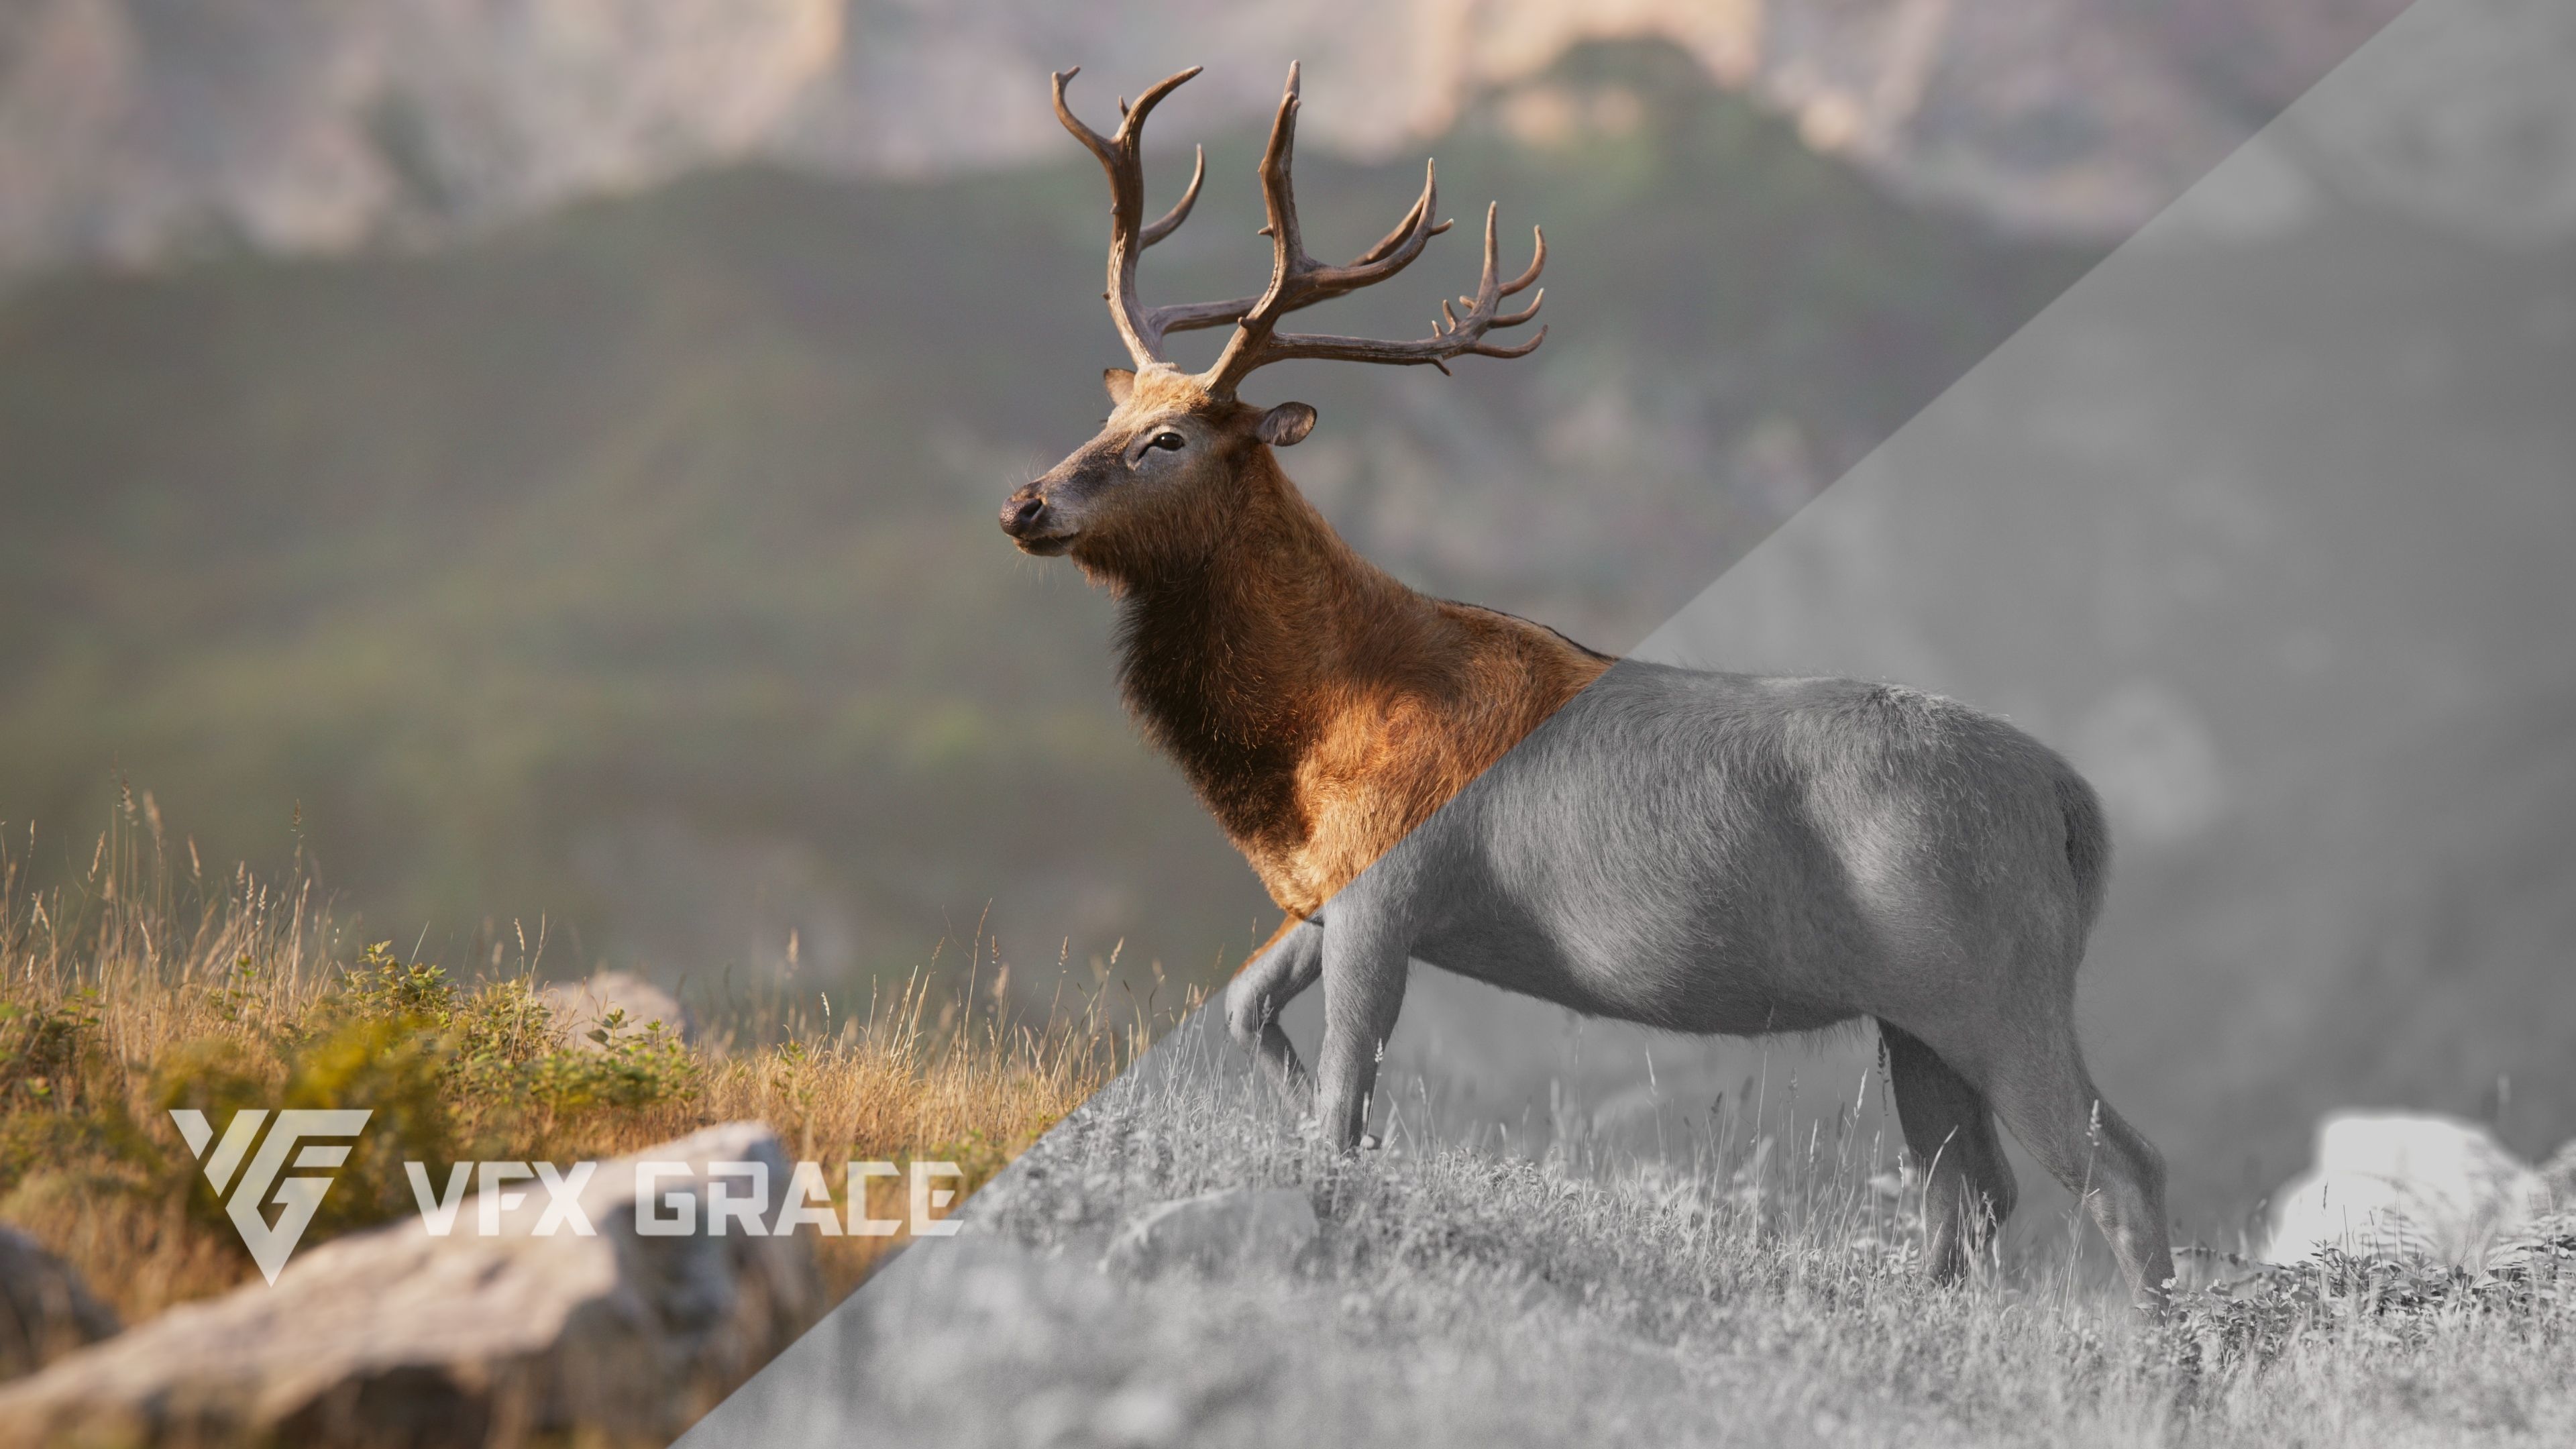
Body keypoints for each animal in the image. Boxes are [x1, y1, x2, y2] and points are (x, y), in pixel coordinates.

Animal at [999, 62, 2174, 1305]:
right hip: (1920, 1016)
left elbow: (1340, 1110)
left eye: (1168, 440)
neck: (1311, 734)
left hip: (2002, 982)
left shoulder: (1392, 884)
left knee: (2120, 1170)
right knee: (1972, 1191)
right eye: (1110, 412)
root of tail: (2074, 808)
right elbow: (1244, 1015)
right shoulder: (1331, 890)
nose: (1026, 503)